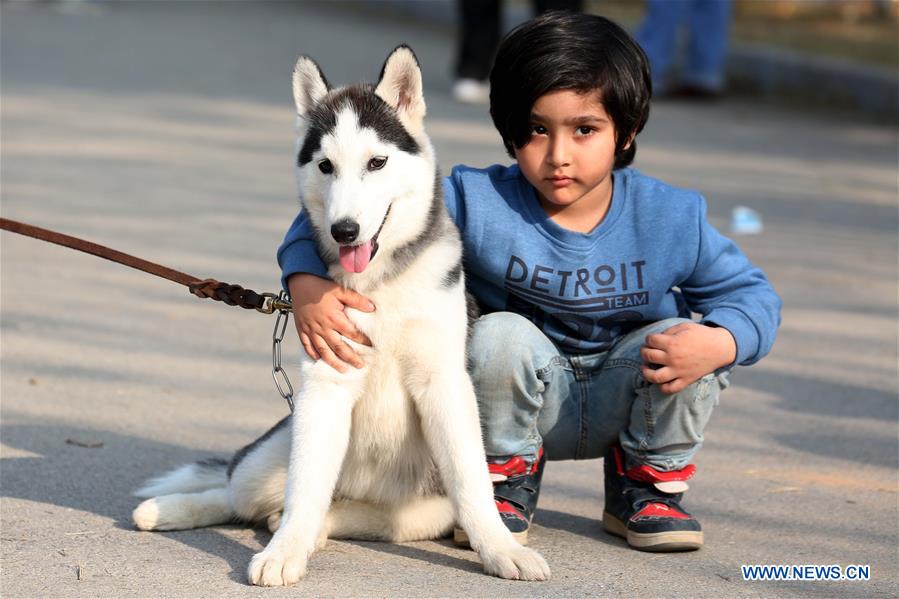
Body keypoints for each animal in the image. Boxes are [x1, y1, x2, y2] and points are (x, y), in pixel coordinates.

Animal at [130, 47, 552, 584]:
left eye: (377, 162)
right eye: (326, 165)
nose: (345, 230)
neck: (380, 285)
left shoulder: (444, 383)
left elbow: (473, 484)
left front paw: (501, 550)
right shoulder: (326, 382)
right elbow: (305, 489)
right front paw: (285, 552)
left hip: (424, 509)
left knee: (358, 513)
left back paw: (317, 523)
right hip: (273, 455)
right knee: (240, 492)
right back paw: (170, 510)